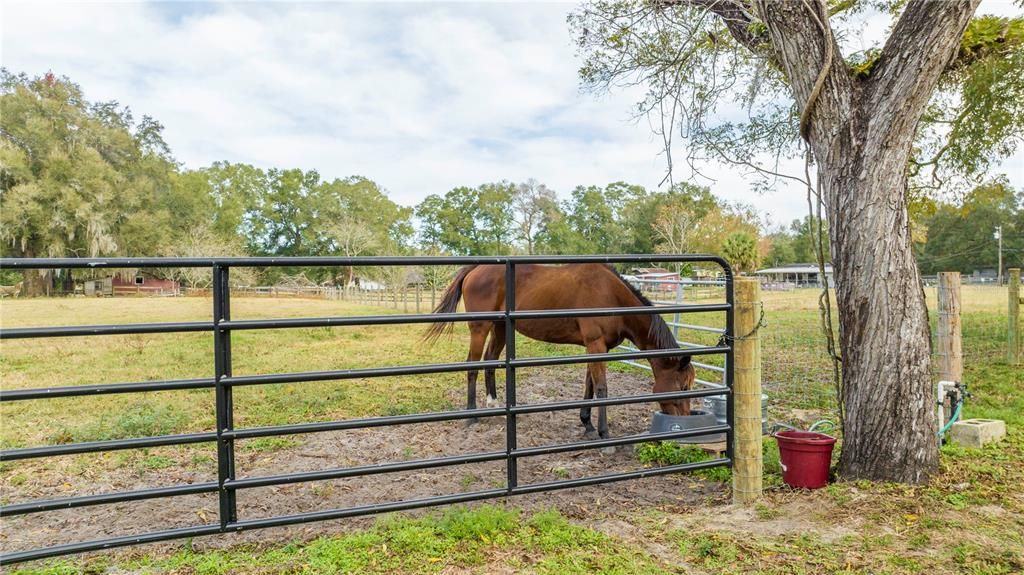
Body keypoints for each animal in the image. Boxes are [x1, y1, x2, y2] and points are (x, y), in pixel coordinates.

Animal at [423, 261, 696, 435]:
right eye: (682, 387)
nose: (684, 423)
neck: (612, 296)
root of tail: (476, 268)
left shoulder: (597, 347)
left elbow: (589, 386)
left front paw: (587, 424)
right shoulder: (595, 344)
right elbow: (602, 388)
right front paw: (604, 433)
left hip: (500, 328)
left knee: (491, 361)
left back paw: (494, 405)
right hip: (480, 328)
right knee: (472, 366)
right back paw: (472, 416)